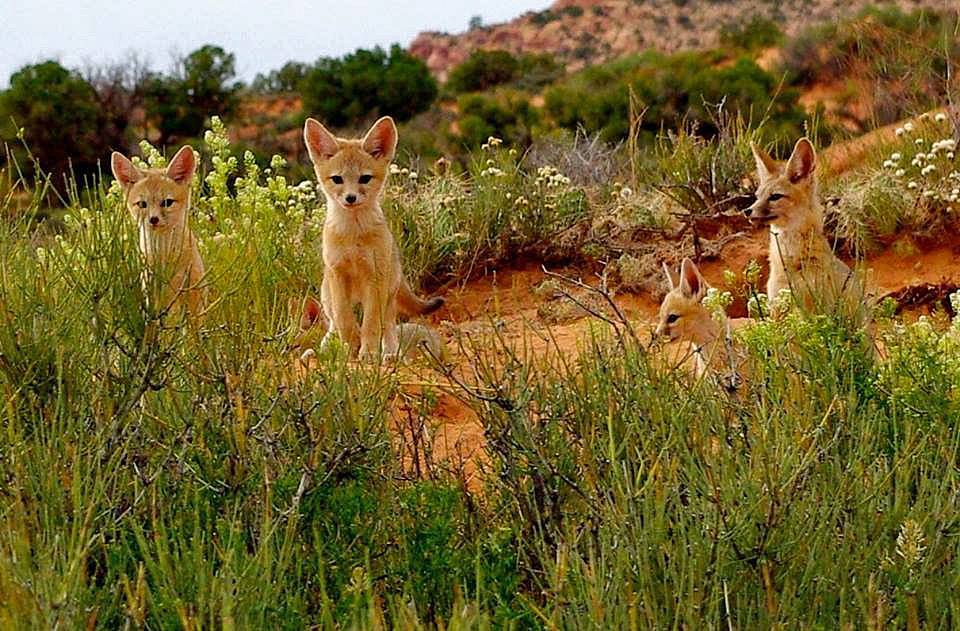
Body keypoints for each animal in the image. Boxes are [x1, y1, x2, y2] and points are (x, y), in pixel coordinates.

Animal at [303, 115, 443, 361]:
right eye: (337, 179)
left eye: (365, 178)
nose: (350, 198)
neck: (352, 236)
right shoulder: (338, 274)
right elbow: (345, 319)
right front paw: (349, 348)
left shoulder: (374, 278)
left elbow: (370, 323)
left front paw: (368, 352)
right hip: (328, 294)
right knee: (332, 323)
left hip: (387, 295)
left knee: (388, 326)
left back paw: (390, 354)